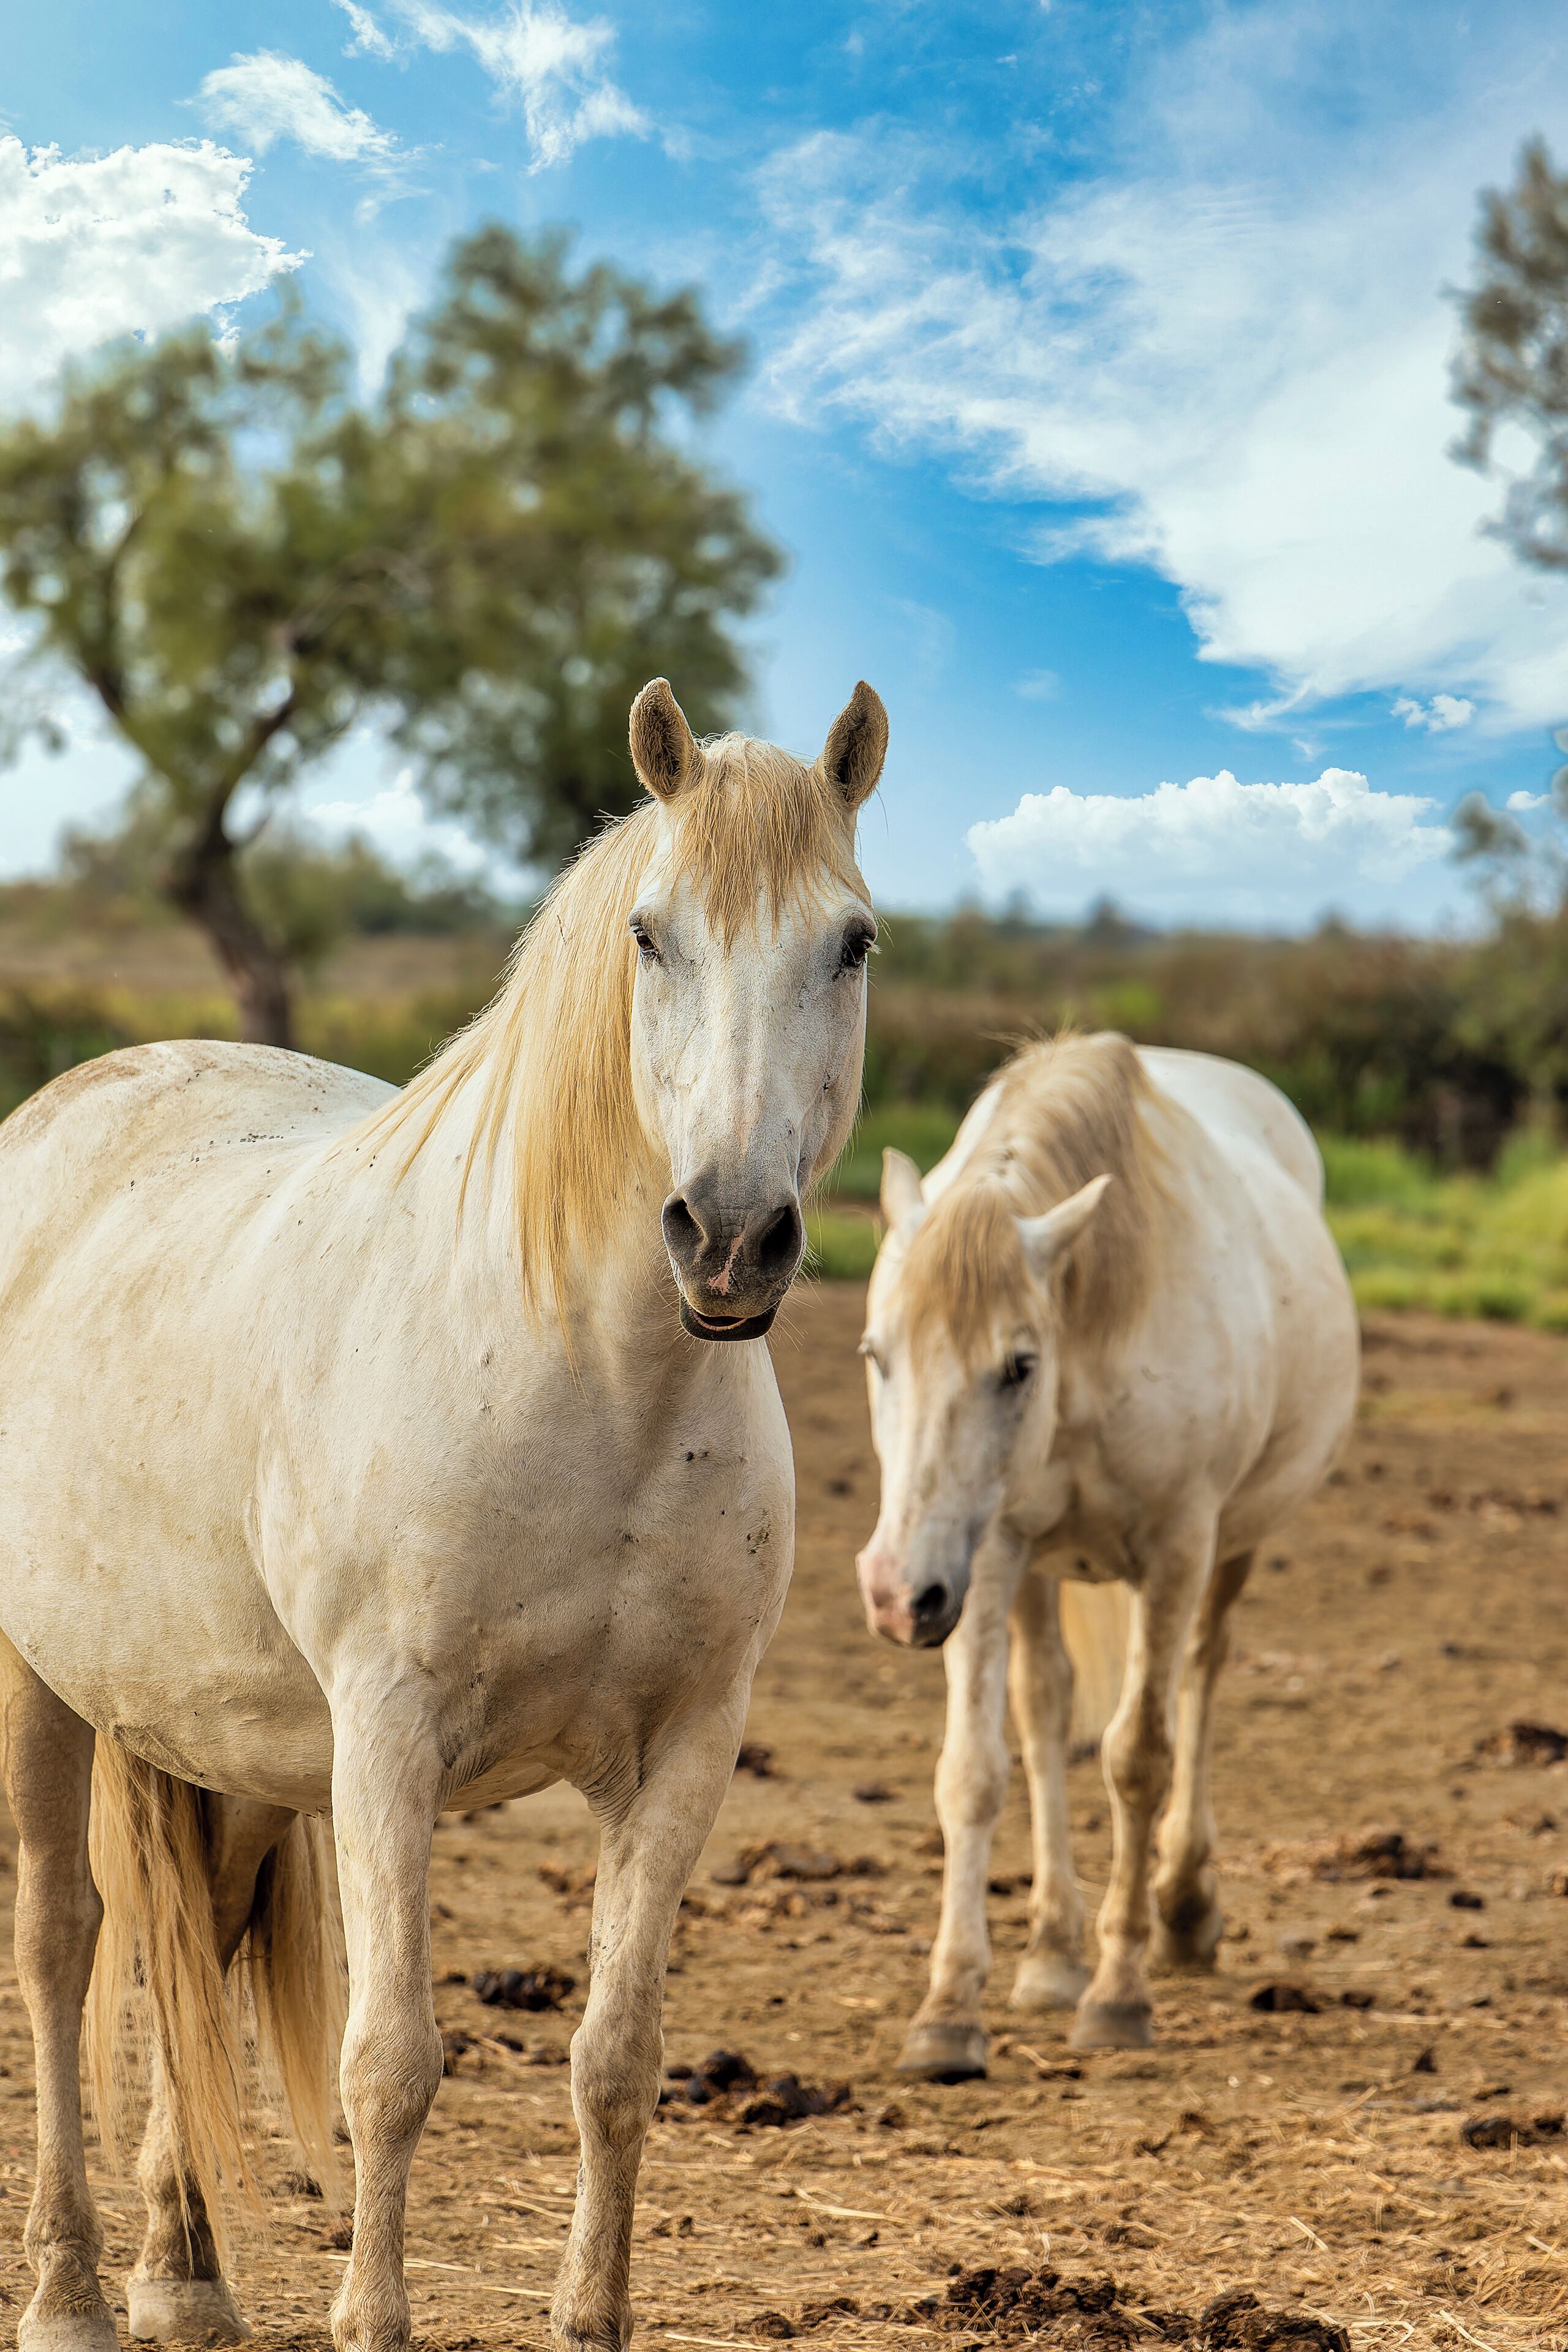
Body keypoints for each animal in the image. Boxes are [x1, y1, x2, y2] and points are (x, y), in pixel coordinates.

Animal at [0, 674, 888, 2352]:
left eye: (852, 941)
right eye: (650, 934)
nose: (729, 1237)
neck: (596, 1384)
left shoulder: (687, 1748)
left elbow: (614, 2061)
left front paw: (589, 2320)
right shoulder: (391, 1735)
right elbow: (391, 2062)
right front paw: (372, 2316)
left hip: (225, 1729)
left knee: (196, 1936)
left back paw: (181, 2268)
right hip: (47, 1686)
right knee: (63, 1943)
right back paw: (73, 2286)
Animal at [853, 1032, 1358, 2076]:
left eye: (1017, 1366)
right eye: (878, 1355)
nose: (893, 1595)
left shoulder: (1177, 1548)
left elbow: (1139, 1759)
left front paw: (1119, 1997)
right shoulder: (983, 1556)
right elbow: (976, 1769)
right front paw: (949, 2013)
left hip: (1230, 1548)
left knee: (1200, 1679)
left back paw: (1184, 1910)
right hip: (1024, 1568)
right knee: (1044, 1709)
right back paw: (1051, 1953)